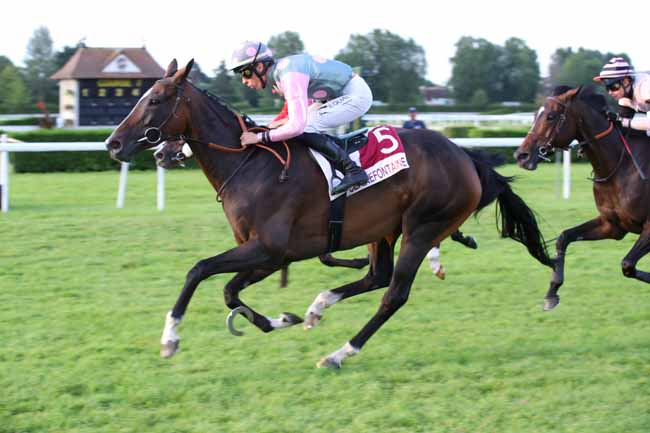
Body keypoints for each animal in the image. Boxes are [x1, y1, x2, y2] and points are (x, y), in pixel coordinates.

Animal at [107, 58, 552, 368]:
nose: (113, 143)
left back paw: (341, 352)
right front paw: (280, 319)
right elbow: (230, 291)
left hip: (423, 227)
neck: (250, 164)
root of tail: (466, 157)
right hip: (384, 229)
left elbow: (199, 270)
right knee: (377, 276)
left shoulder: (268, 249)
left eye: (156, 100)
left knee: (393, 294)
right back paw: (318, 307)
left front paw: (170, 338)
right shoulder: (269, 255)